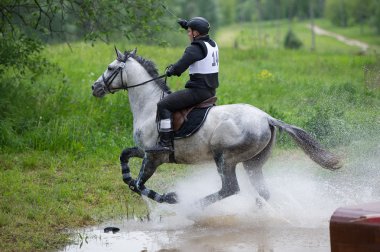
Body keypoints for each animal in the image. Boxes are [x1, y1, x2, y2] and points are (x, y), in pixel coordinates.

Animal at [92, 48, 342, 208]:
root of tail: (267, 118)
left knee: (229, 189)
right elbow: (125, 160)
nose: (95, 87)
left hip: (225, 158)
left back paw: (193, 207)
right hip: (253, 163)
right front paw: (128, 176)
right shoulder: (144, 151)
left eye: (110, 67)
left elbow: (140, 184)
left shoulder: (153, 157)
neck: (148, 105)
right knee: (261, 191)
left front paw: (170, 198)